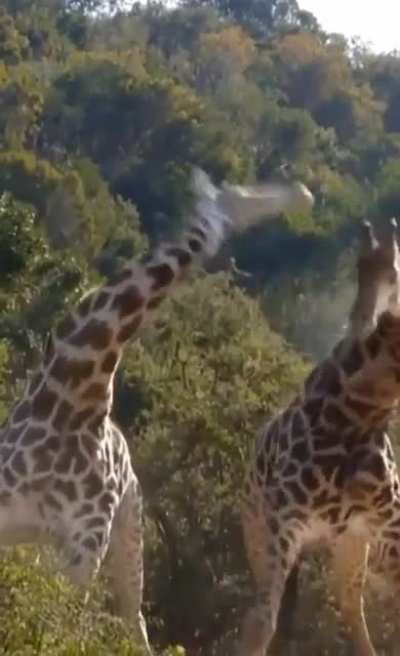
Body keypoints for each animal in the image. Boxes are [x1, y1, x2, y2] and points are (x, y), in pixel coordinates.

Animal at [0, 168, 314, 654]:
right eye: (240, 194)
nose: (303, 195)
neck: (74, 398)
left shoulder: (84, 545)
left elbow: (51, 625)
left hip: (126, 533)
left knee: (134, 620)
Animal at [236, 217, 400, 656]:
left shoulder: (386, 523)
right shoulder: (282, 522)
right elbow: (261, 623)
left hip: (352, 544)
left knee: (349, 603)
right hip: (260, 534)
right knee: (274, 607)